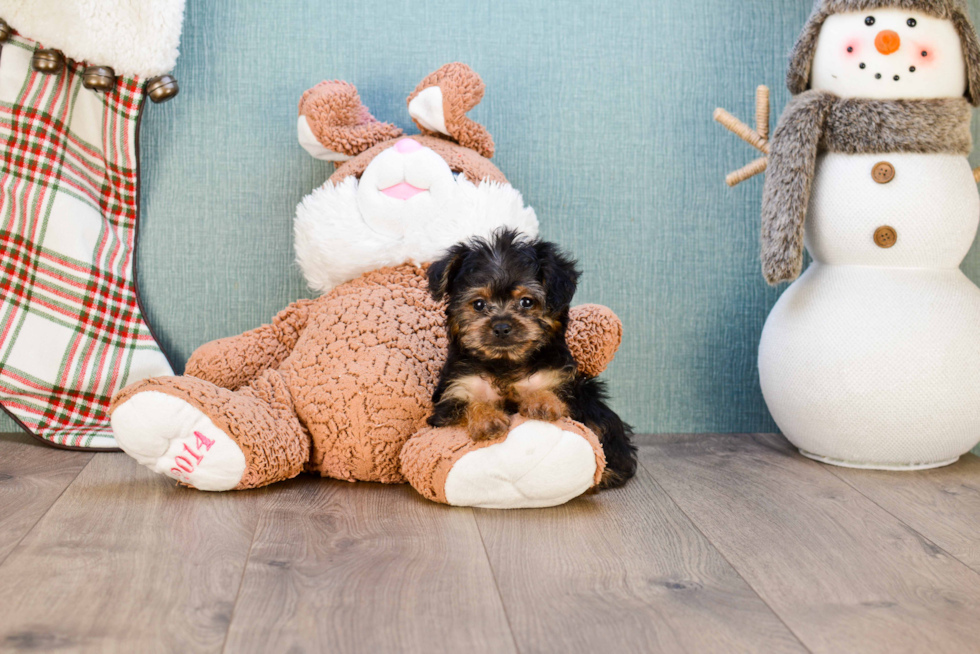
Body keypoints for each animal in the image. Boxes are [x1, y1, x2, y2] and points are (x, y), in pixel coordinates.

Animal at [424, 228, 640, 490]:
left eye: (527, 302)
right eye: (479, 304)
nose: (501, 327)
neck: (505, 362)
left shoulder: (563, 384)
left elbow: (554, 396)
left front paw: (541, 402)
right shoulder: (453, 394)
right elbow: (466, 405)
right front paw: (487, 419)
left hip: (592, 398)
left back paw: (606, 473)